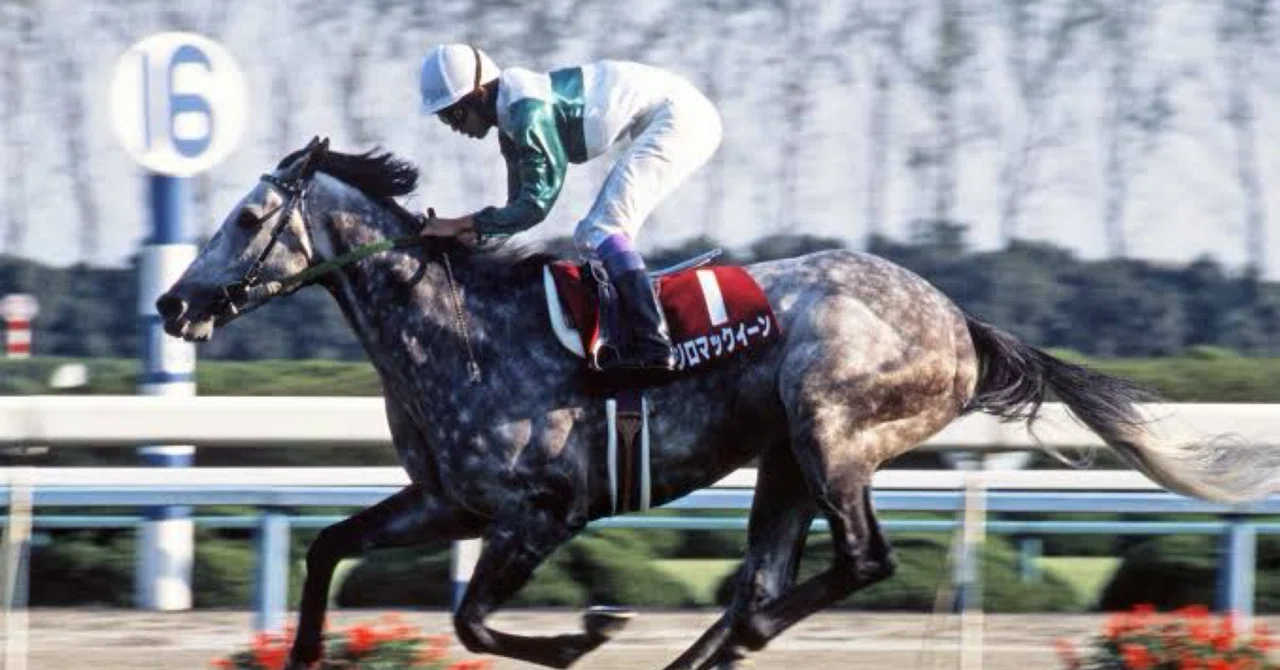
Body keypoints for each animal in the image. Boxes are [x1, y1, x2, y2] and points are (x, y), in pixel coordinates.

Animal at [158, 137, 1280, 670]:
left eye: (249, 217)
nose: (174, 301)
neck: (461, 332)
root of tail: (960, 323)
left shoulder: (541, 512)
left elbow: (474, 620)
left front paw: (589, 630)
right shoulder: (449, 501)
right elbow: (326, 546)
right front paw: (303, 652)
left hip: (832, 431)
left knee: (859, 561)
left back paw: (722, 645)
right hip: (782, 458)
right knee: (765, 582)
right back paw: (712, 651)